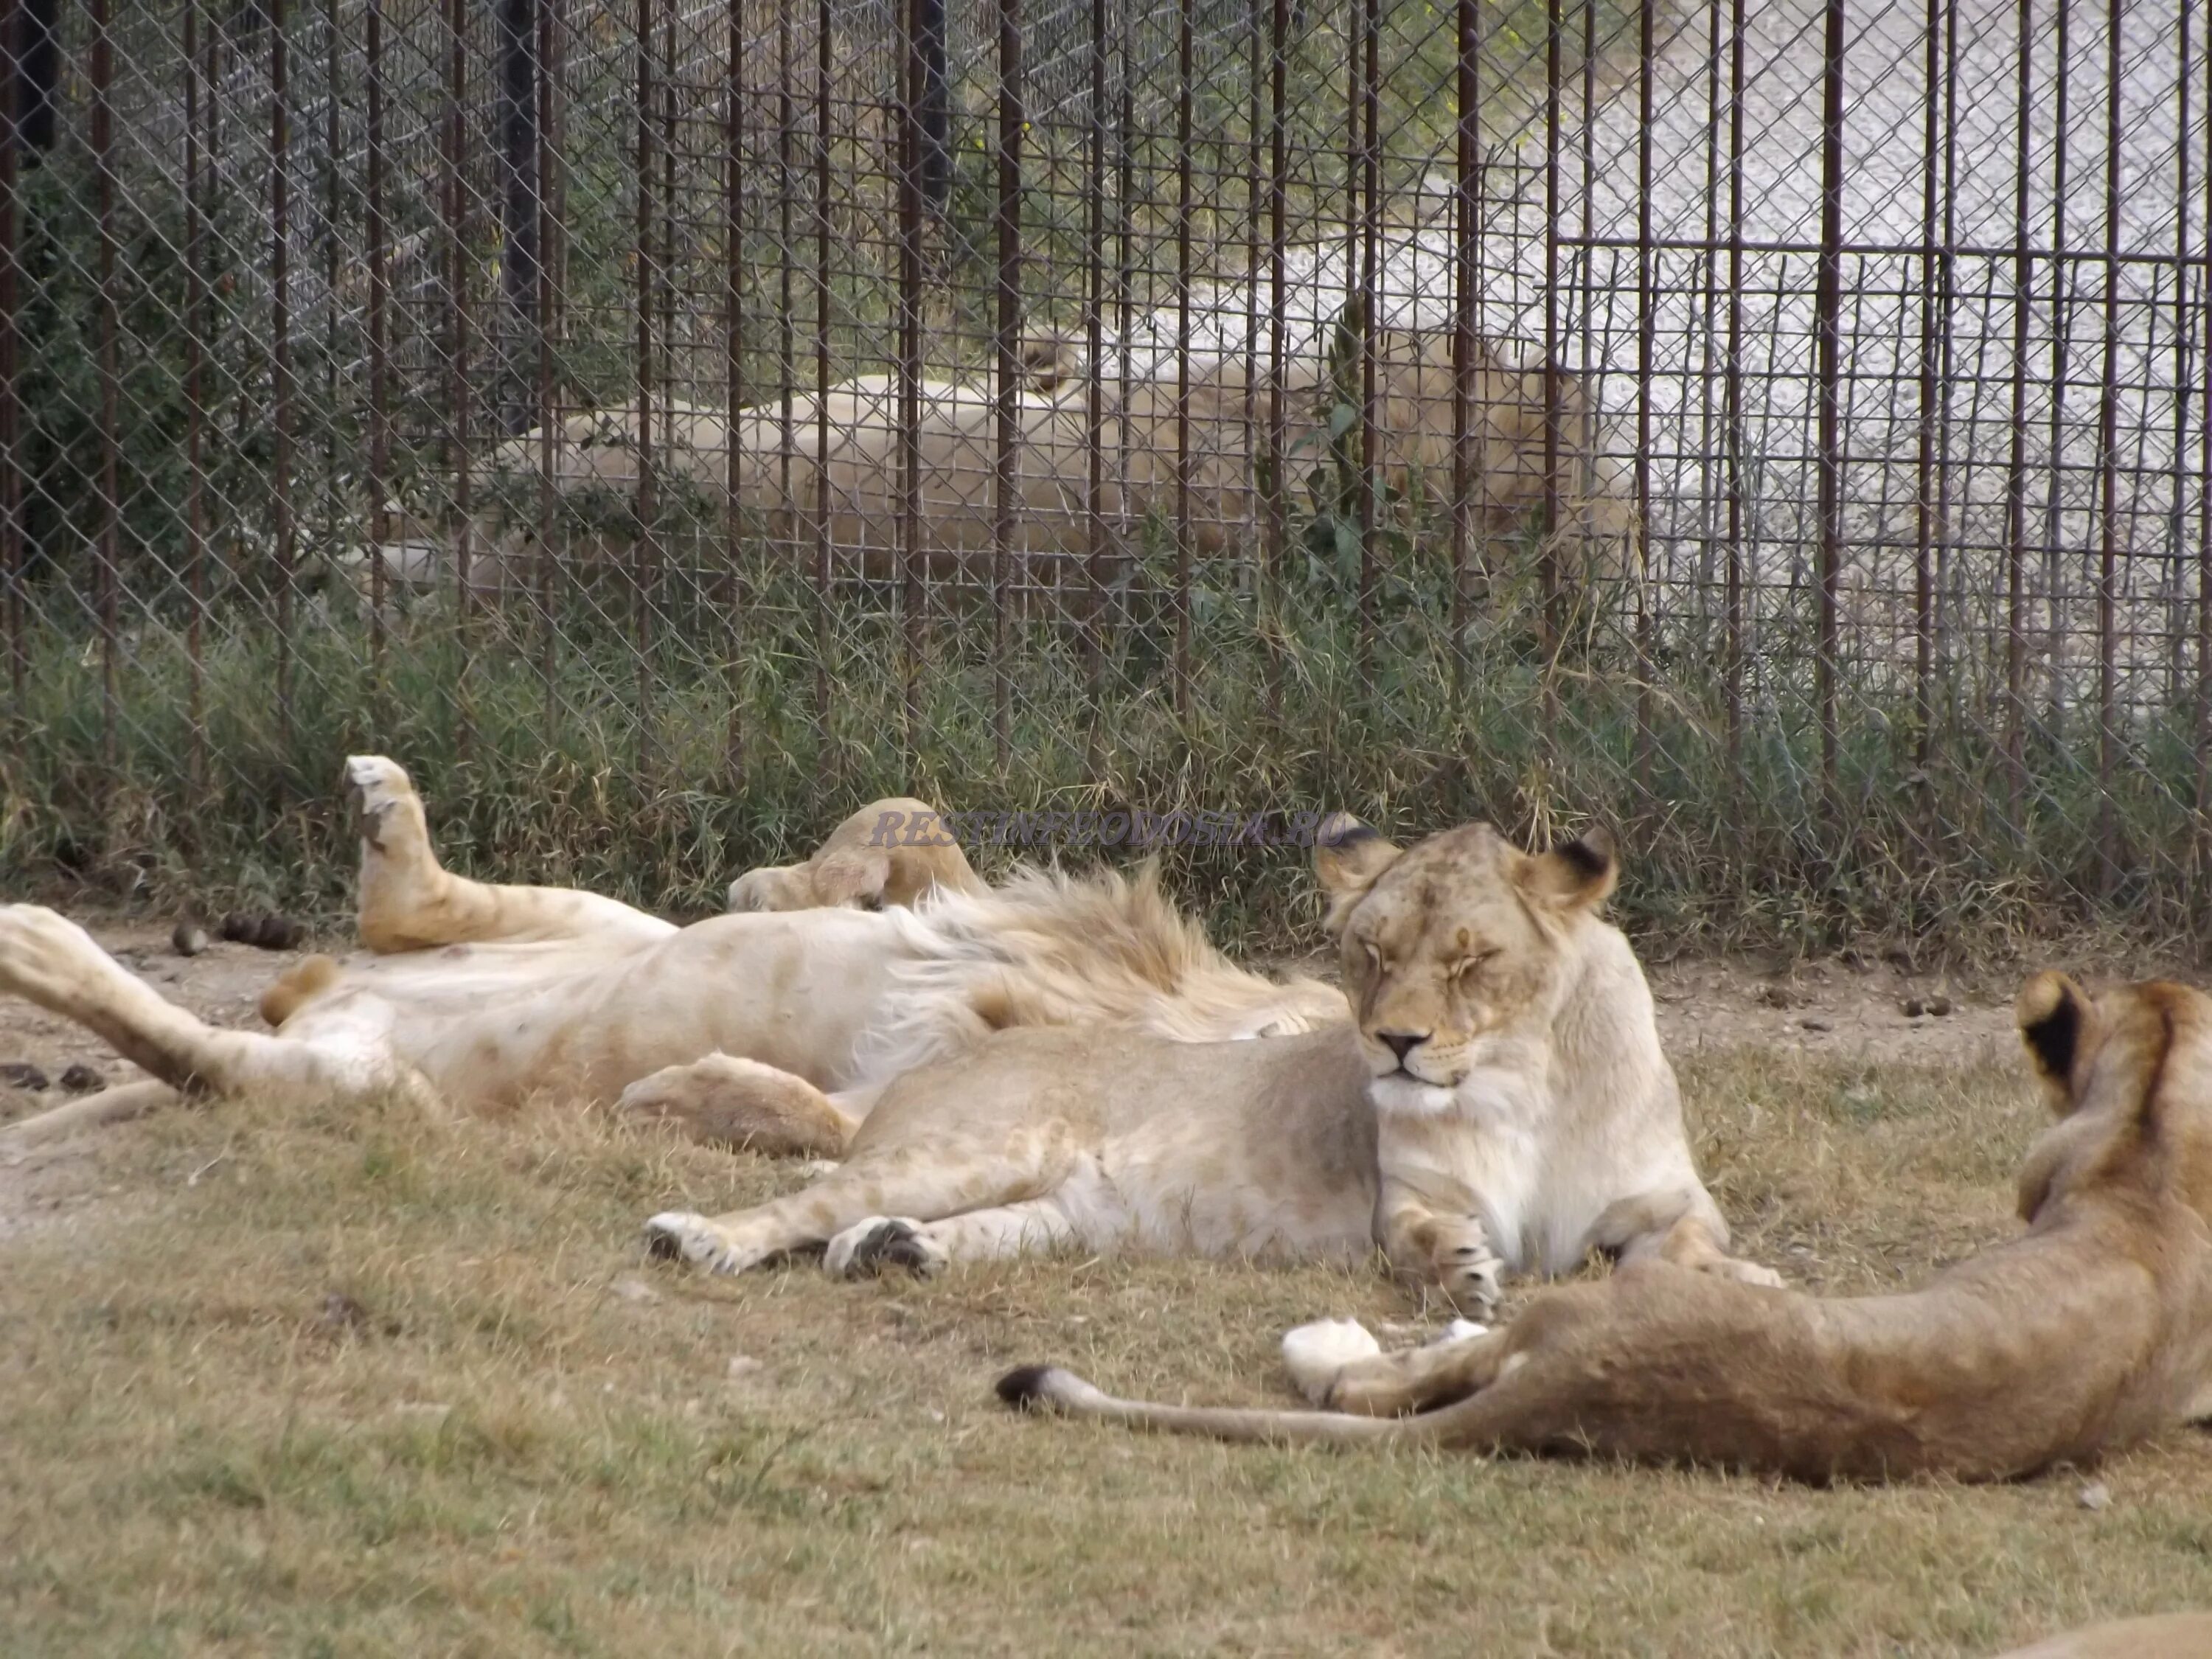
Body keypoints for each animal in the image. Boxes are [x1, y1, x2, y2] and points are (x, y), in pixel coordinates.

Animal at [0, 757, 1336, 1159]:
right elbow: (908, 816)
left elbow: (834, 1118)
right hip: (607, 918)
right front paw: (788, 883)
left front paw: (684, 1096)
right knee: (397, 915)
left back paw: (35, 938)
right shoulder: (1008, 917)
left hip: (365, 1086)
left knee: (197, 1050)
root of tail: (309, 1005)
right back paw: (389, 816)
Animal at [637, 814, 1761, 1310]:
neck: (1526, 1082)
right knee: (797, 1208)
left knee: (860, 1237)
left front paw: (1743, 1278)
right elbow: (1424, 1235)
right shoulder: (1399, 1202)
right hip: (962, 1150)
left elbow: (1688, 1249)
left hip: (1055, 1213)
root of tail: (924, 1074)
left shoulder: (1670, 1204)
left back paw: (892, 1250)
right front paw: (1464, 1270)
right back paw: (699, 1238)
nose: (1395, 1042)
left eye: (1470, 959)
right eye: (1370, 951)